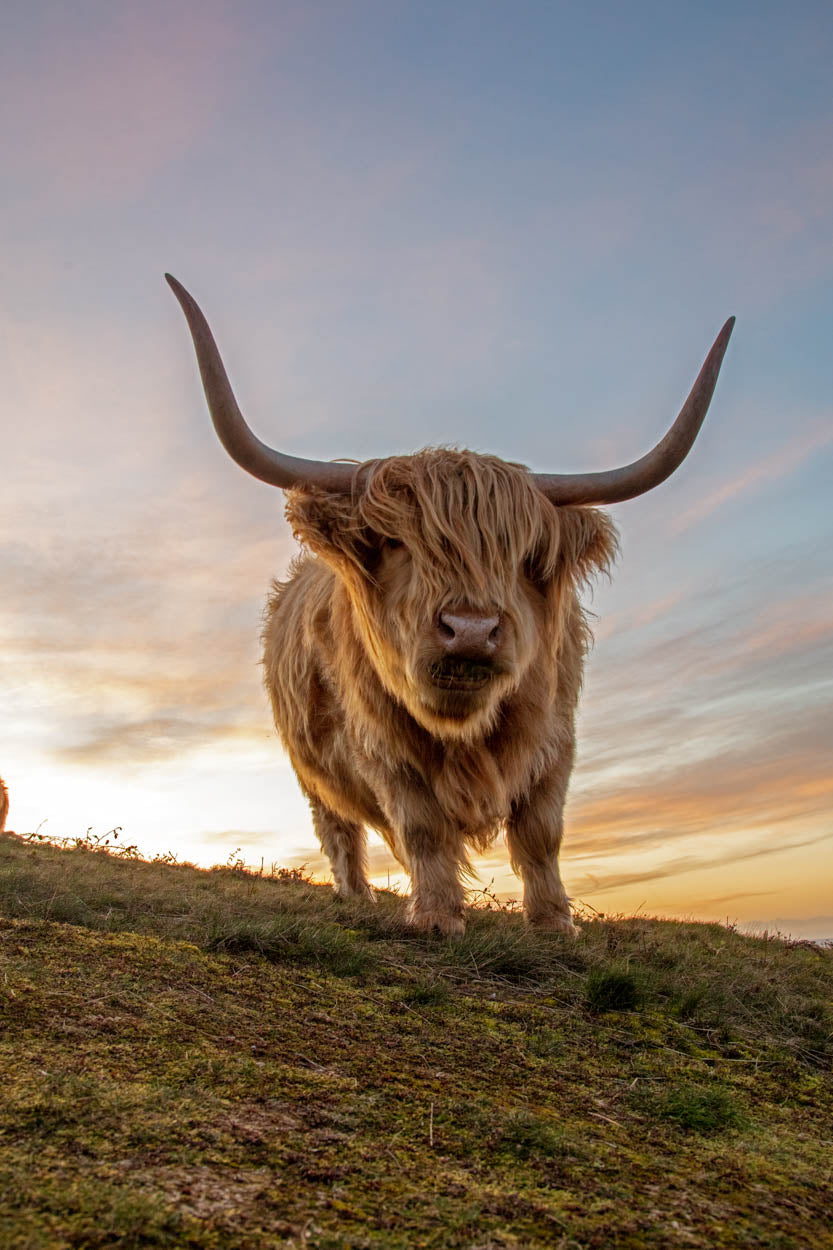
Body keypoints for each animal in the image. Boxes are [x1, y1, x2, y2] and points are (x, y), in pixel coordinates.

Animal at [170, 276, 735, 940]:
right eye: (395, 542)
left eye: (522, 554)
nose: (470, 631)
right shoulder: (383, 745)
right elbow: (422, 827)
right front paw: (437, 915)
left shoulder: (555, 737)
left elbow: (542, 832)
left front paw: (554, 923)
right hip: (311, 768)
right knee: (338, 828)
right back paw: (356, 896)